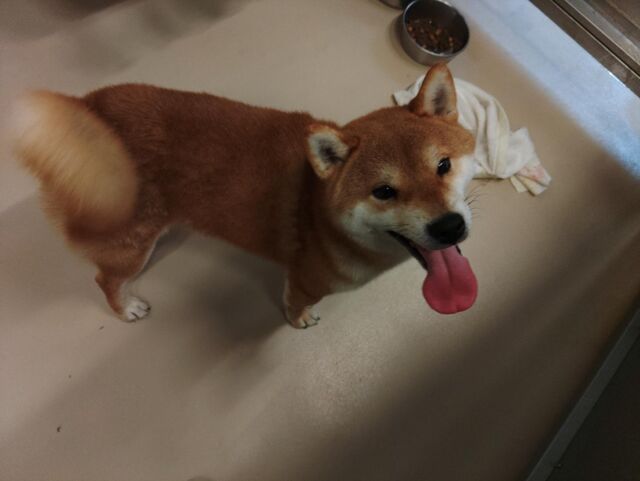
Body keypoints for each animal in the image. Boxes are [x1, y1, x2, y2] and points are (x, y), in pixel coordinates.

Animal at [13, 63, 477, 328]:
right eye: (384, 192)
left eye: (443, 165)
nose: (449, 227)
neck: (317, 209)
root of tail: (87, 107)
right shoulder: (303, 280)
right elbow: (296, 305)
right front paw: (299, 320)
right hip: (129, 245)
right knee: (104, 279)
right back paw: (125, 307)